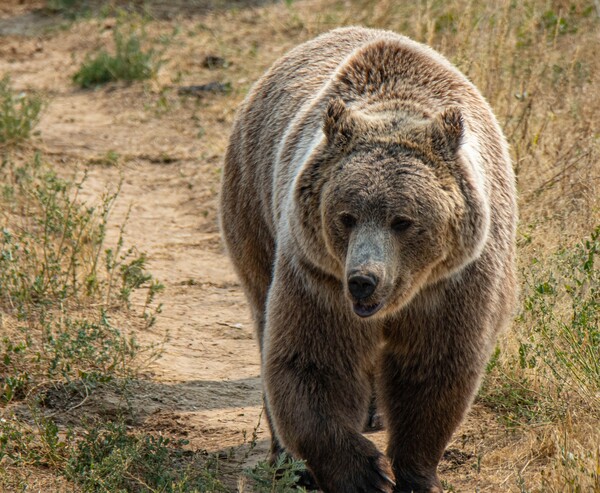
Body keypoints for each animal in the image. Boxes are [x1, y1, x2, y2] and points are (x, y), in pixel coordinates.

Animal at [220, 26, 516, 492]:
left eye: (403, 220)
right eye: (346, 216)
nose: (363, 280)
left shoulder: (457, 281)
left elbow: (433, 370)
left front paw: (415, 473)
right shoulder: (317, 275)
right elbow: (312, 363)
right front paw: (364, 474)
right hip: (254, 205)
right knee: (263, 315)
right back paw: (287, 460)